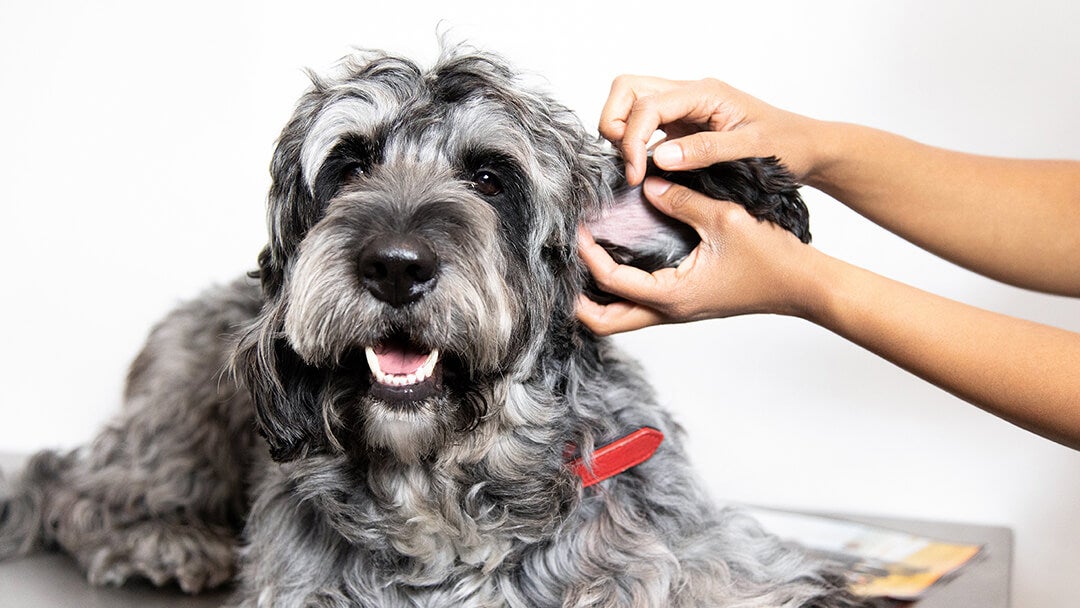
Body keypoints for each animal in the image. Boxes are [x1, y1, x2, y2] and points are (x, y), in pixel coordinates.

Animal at [0, 48, 876, 608]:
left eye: (491, 177)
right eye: (349, 164)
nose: (393, 266)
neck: (448, 489)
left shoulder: (731, 570)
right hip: (180, 426)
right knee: (65, 484)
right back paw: (161, 542)